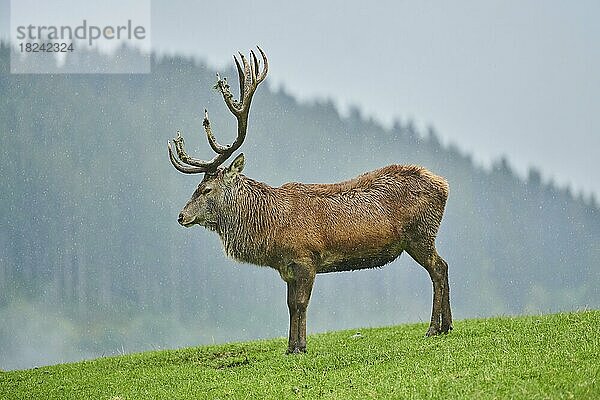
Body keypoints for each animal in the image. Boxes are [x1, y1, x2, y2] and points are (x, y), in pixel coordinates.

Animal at [166, 47, 452, 354]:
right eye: (197, 186)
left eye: (207, 189)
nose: (181, 216)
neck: (270, 228)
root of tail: (444, 185)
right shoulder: (287, 268)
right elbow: (290, 305)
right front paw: (292, 346)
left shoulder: (305, 257)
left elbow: (299, 304)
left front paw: (299, 346)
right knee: (444, 266)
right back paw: (447, 325)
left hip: (420, 234)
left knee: (438, 269)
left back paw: (433, 328)